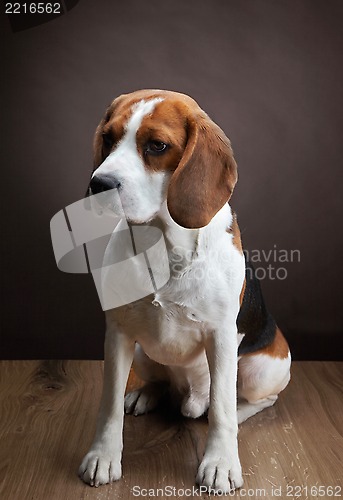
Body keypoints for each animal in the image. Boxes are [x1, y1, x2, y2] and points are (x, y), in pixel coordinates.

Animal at [79, 89, 292, 492]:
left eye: (157, 145)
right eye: (109, 138)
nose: (98, 186)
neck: (161, 240)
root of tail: (189, 397)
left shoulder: (222, 337)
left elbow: (222, 408)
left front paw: (221, 463)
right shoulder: (117, 333)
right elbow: (108, 404)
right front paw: (103, 455)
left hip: (264, 369)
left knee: (256, 400)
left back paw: (230, 412)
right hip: (142, 352)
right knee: (161, 381)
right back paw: (147, 394)